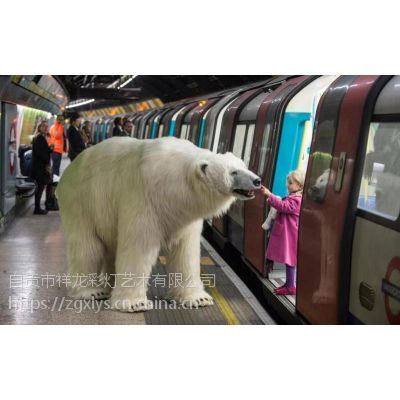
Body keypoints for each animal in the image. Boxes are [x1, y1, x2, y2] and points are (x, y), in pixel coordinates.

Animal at [57, 138, 262, 312]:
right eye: (233, 172)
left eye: (243, 165)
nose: (257, 180)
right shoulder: (143, 197)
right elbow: (138, 247)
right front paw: (134, 303)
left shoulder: (184, 214)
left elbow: (185, 251)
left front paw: (198, 298)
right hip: (81, 201)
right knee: (87, 246)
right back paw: (92, 291)